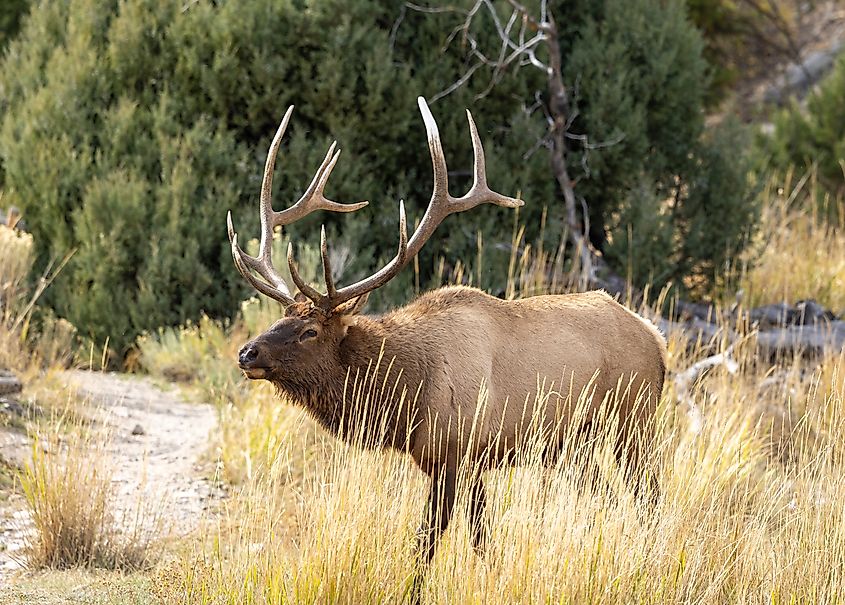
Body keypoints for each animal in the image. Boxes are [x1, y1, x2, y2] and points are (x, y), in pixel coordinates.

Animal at [227, 97, 667, 566]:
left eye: (309, 331)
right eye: (280, 317)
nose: (248, 353)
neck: (405, 395)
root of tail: (658, 342)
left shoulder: (457, 455)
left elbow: (430, 544)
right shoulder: (456, 463)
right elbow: (478, 538)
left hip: (633, 424)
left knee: (649, 497)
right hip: (576, 445)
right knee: (611, 493)